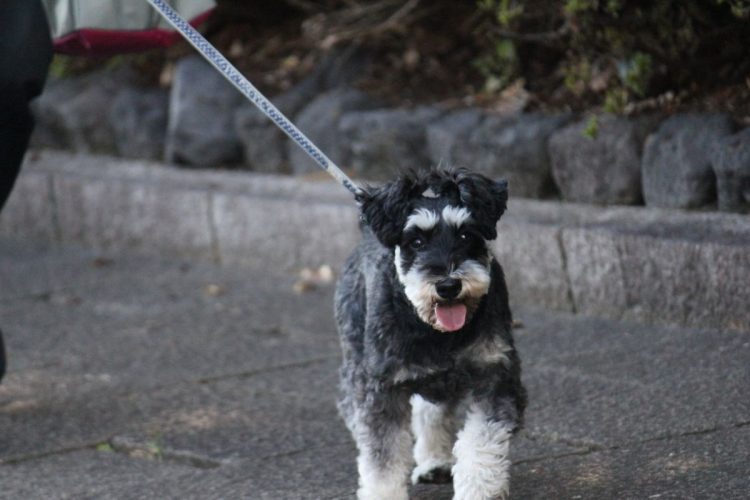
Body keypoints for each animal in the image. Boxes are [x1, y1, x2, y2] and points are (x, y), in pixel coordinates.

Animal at [336, 169, 528, 500]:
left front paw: (476, 489)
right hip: (355, 361)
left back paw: (435, 462)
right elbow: (381, 458)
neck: (437, 332)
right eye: (415, 241)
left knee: (430, 411)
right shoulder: (382, 389)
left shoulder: (496, 375)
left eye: (465, 235)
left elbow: (480, 444)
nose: (448, 285)